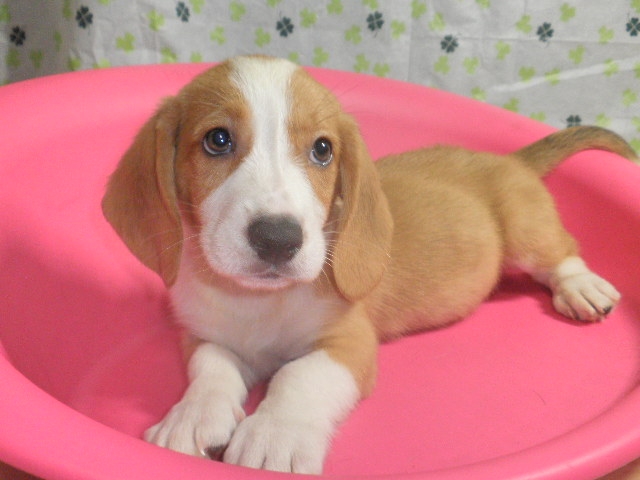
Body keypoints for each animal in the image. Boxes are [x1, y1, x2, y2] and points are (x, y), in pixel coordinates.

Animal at [102, 55, 637, 474]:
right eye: (217, 140)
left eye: (322, 149)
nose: (278, 239)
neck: (259, 303)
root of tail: (510, 160)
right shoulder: (202, 336)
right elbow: (212, 370)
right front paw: (191, 417)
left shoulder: (349, 345)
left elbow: (299, 377)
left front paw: (275, 434)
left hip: (527, 231)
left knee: (560, 253)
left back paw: (581, 286)